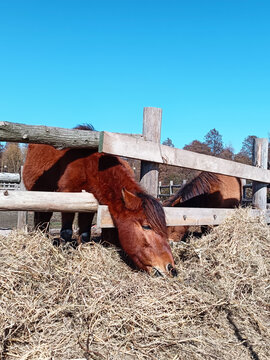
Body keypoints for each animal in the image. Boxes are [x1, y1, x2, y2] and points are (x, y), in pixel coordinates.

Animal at [23, 125, 177, 278]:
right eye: (146, 226)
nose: (171, 268)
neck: (87, 164)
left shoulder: (88, 204)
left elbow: (85, 233)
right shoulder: (68, 198)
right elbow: (66, 231)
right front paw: (66, 252)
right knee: (42, 221)